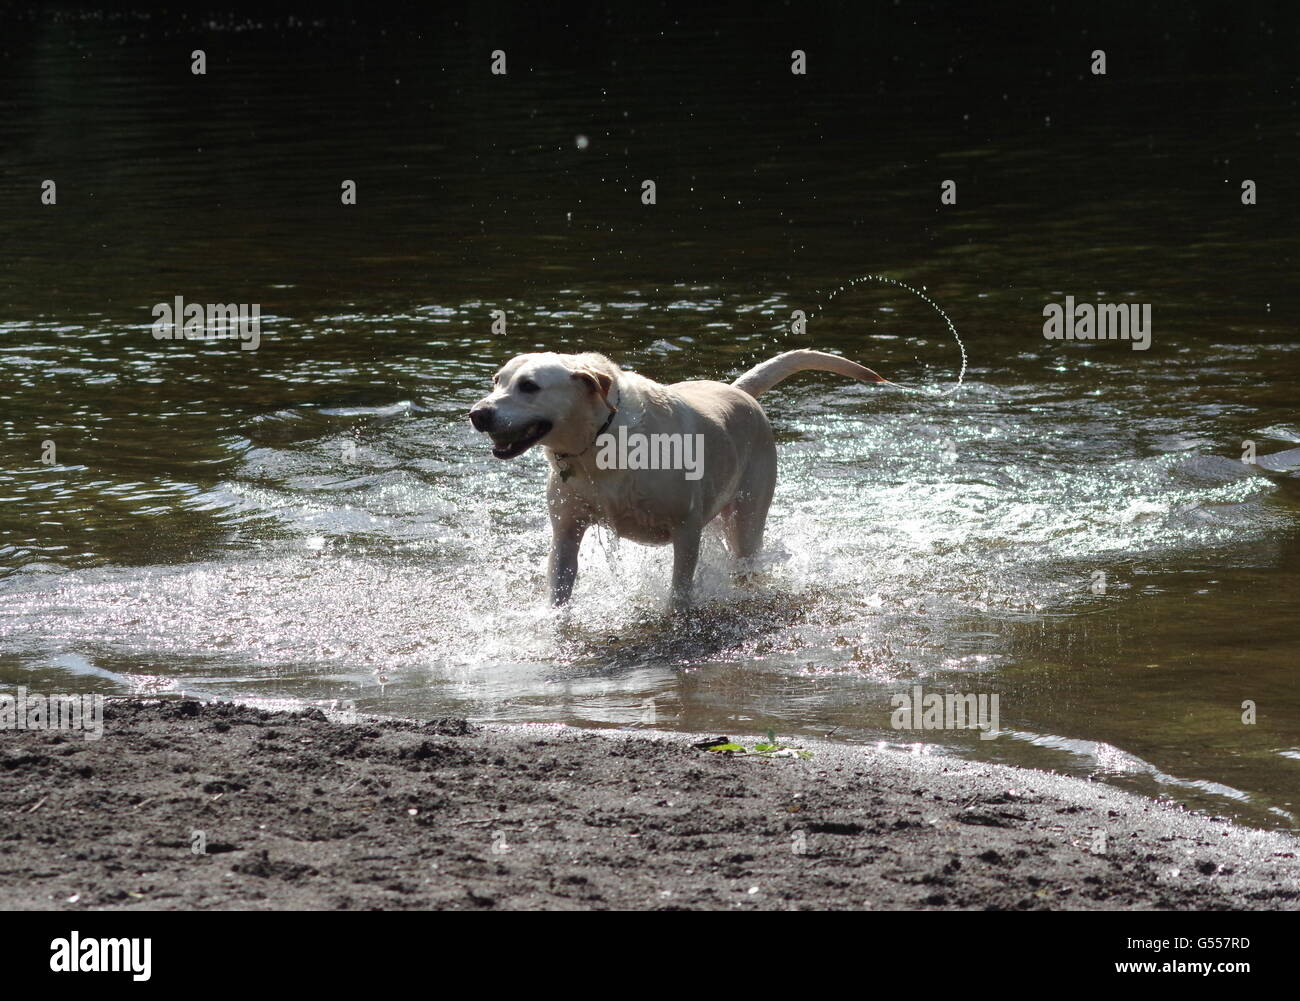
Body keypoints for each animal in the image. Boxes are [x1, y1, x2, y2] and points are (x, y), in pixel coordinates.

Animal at [473, 348, 889, 603]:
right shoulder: (565, 532)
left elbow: (680, 593)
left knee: (745, 557)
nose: (477, 414)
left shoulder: (685, 529)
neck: (598, 443)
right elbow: (560, 586)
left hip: (747, 517)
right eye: (496, 381)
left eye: (529, 386)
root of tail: (739, 391)